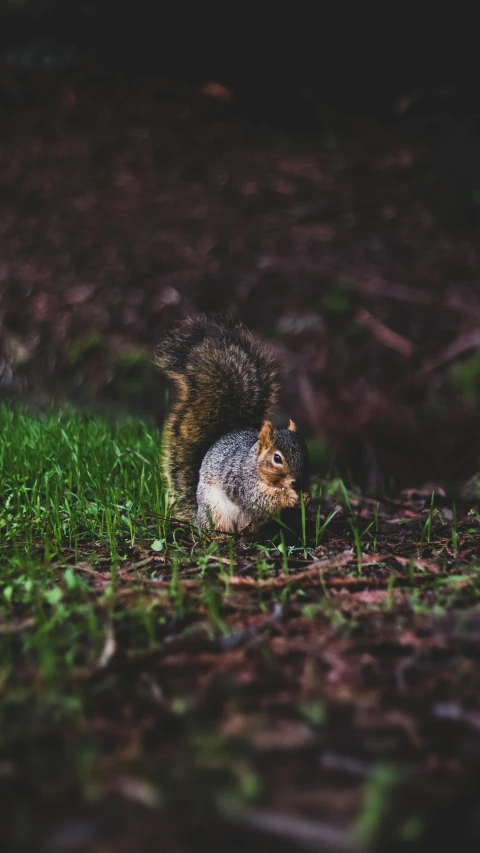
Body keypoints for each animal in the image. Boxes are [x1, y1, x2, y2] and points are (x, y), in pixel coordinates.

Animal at [156, 316, 310, 536]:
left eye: (306, 453)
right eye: (277, 458)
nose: (297, 482)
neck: (255, 466)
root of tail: (197, 516)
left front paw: (305, 496)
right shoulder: (243, 482)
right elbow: (259, 502)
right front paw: (288, 496)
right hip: (215, 512)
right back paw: (220, 538)